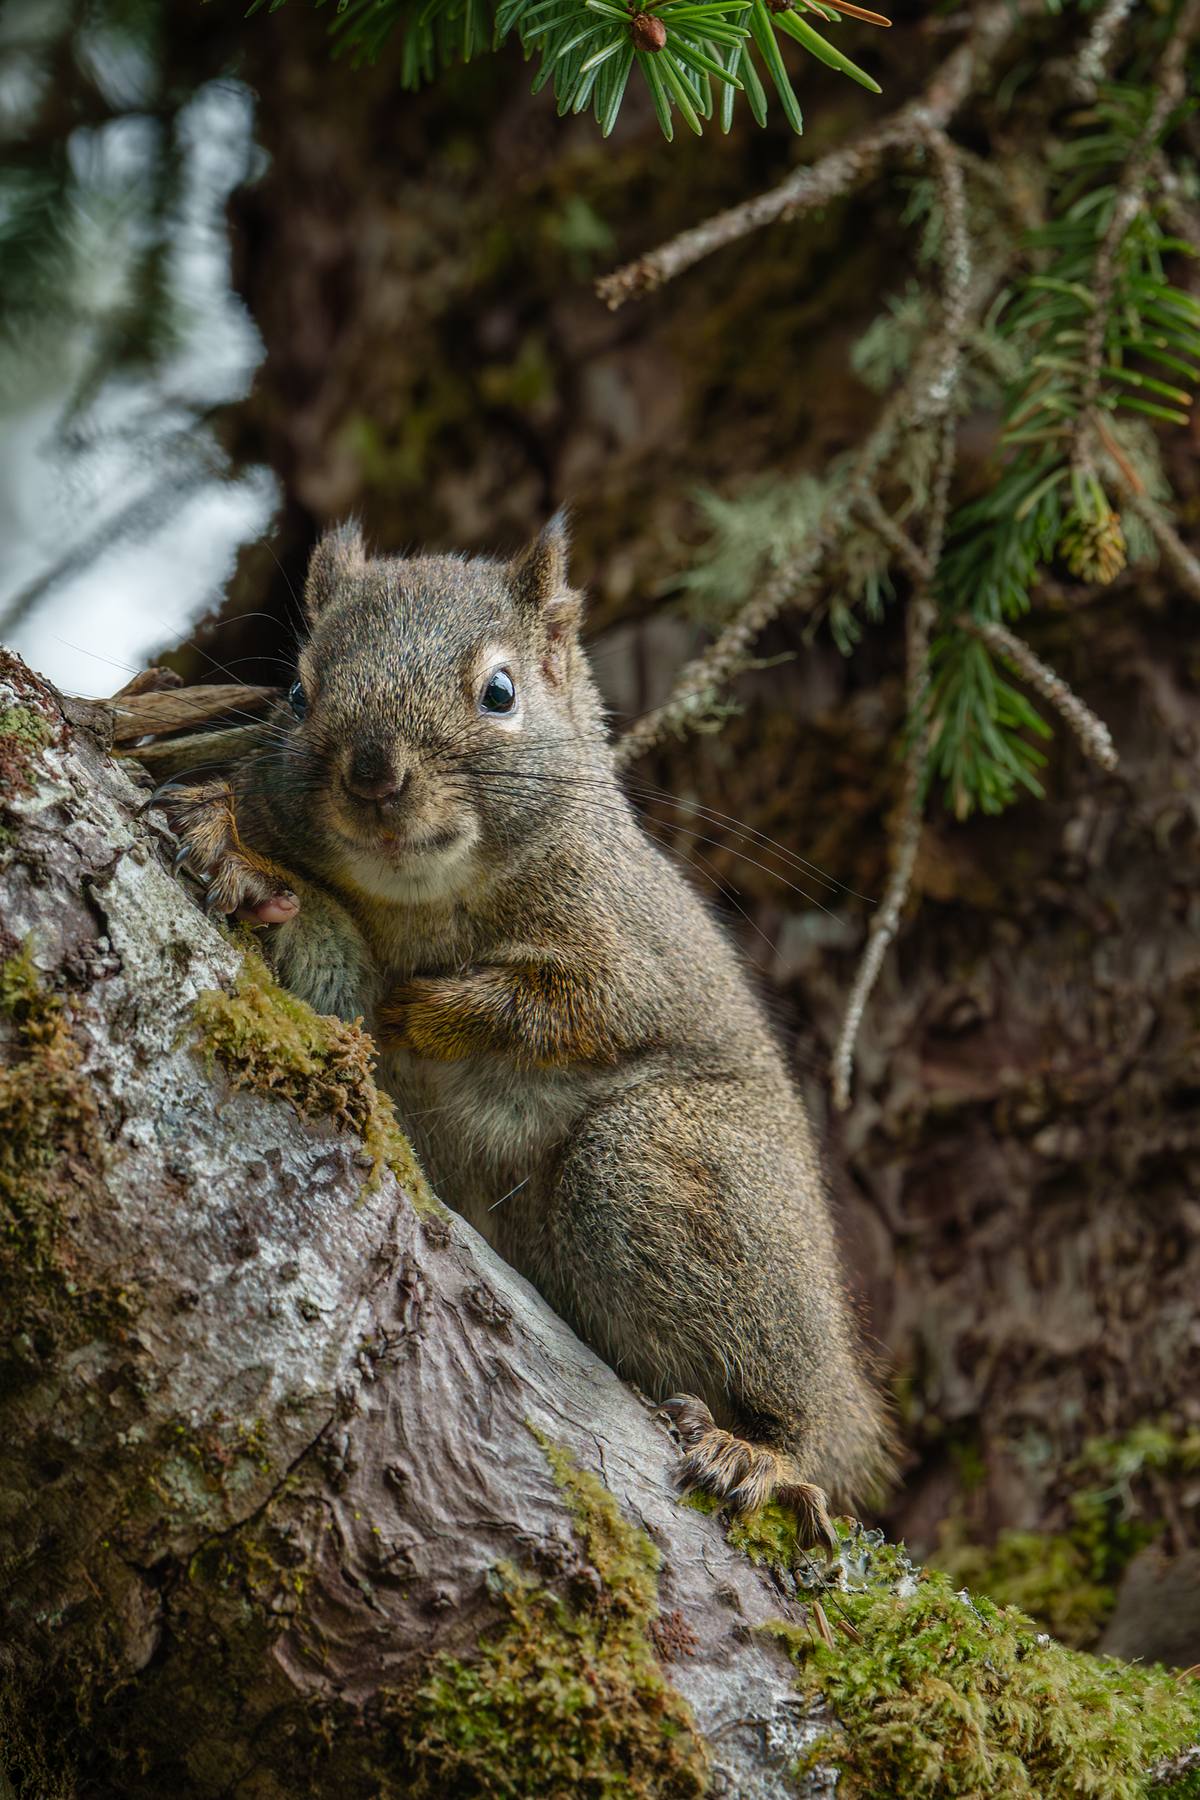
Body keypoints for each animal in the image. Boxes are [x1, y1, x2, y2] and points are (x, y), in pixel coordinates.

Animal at [163, 517, 891, 1545]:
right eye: (299, 693)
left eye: (500, 693)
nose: (374, 774)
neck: (426, 905)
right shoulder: (342, 977)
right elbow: (329, 979)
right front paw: (234, 848)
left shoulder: (627, 947)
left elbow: (573, 1008)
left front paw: (436, 1011)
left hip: (680, 1171)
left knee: (807, 1415)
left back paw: (764, 1452)